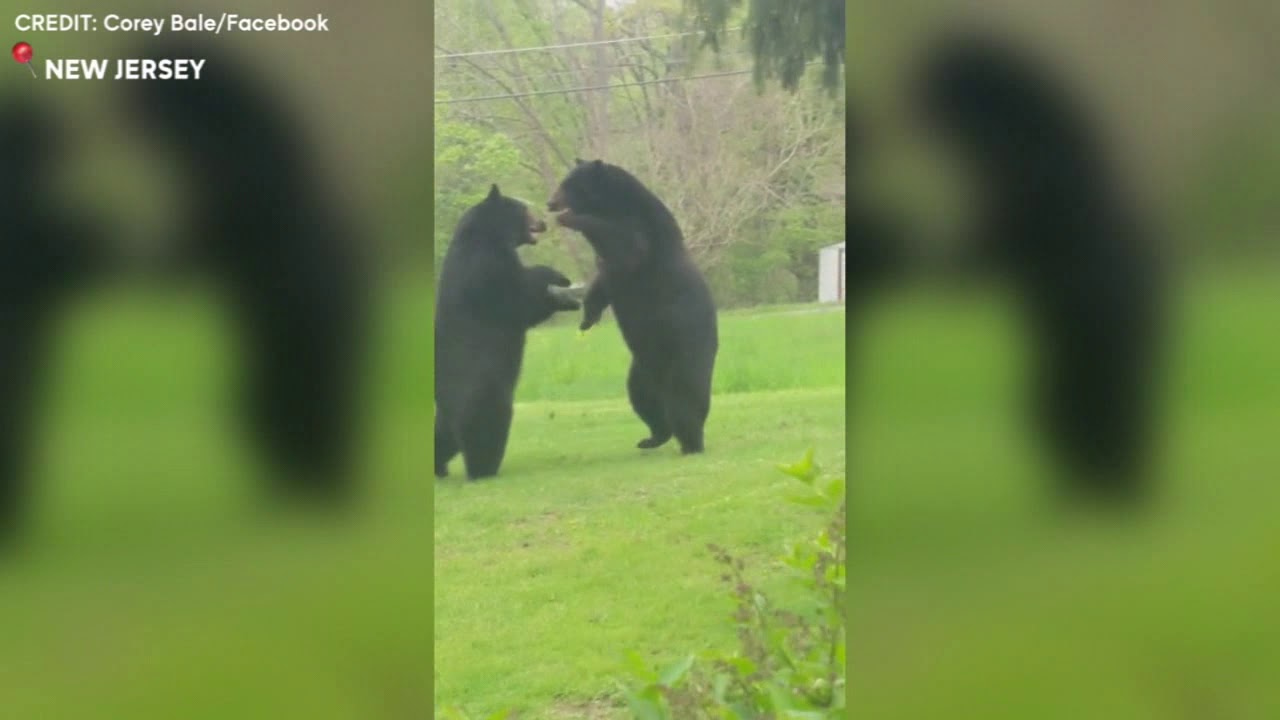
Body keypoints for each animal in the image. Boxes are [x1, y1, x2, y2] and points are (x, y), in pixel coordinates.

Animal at [435, 184, 581, 480]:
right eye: (525, 209)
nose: (543, 221)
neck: (487, 234)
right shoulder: (484, 267)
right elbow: (518, 295)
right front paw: (558, 279)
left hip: (445, 415)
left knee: (442, 437)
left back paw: (439, 467)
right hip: (483, 391)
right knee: (485, 429)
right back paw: (483, 469)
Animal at [547, 159, 719, 454]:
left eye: (569, 185)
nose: (550, 203)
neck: (614, 205)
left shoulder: (641, 230)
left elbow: (628, 246)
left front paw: (571, 219)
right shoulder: (610, 269)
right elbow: (602, 284)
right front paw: (587, 318)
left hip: (686, 352)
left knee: (686, 399)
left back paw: (691, 443)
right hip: (641, 370)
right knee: (644, 401)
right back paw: (652, 438)